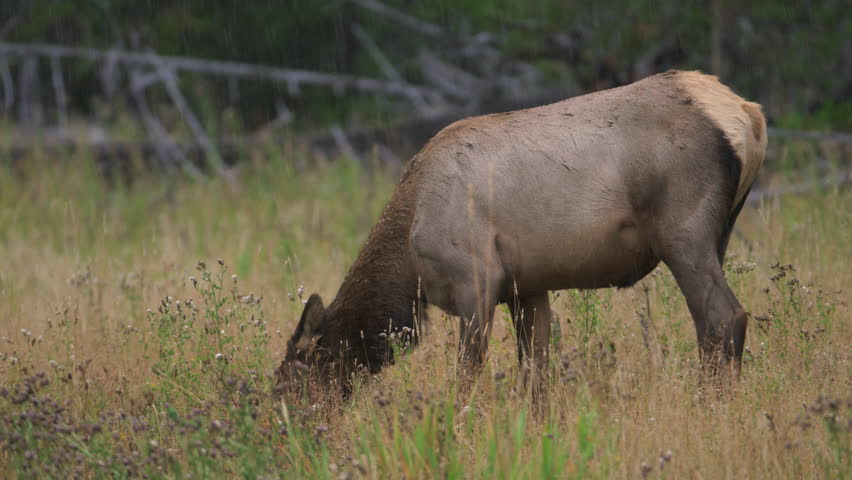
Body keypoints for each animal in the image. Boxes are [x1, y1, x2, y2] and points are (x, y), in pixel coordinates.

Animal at [275, 70, 767, 397]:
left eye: (290, 382)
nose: (283, 434)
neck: (408, 260)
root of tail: (751, 115)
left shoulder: (476, 278)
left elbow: (467, 378)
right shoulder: (526, 289)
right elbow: (536, 376)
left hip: (683, 232)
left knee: (724, 318)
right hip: (720, 233)